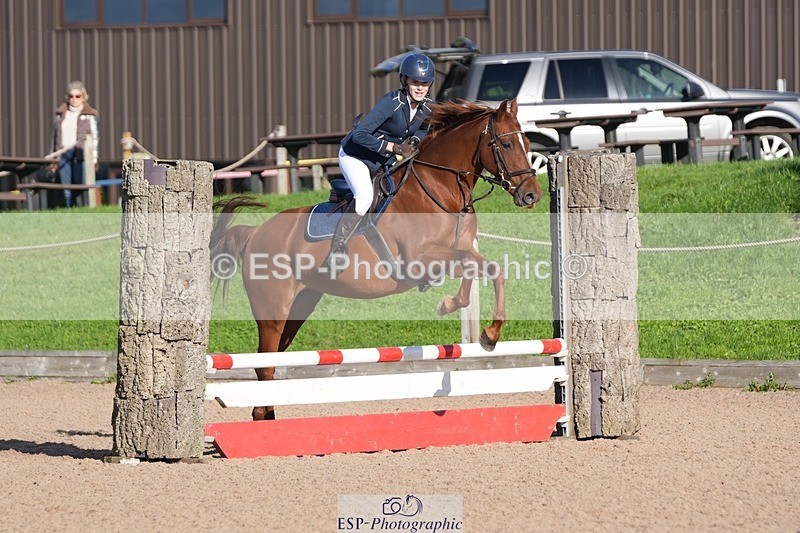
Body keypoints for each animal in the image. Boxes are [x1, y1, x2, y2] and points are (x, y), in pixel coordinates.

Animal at [211, 98, 543, 421]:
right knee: (264, 365)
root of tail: (255, 232)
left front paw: (474, 322)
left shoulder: (458, 252)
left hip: (300, 305)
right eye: (506, 144)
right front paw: (474, 323)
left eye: (528, 142)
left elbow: (486, 268)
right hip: (272, 312)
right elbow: (479, 267)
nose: (532, 195)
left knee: (272, 361)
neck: (441, 189)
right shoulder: (420, 258)